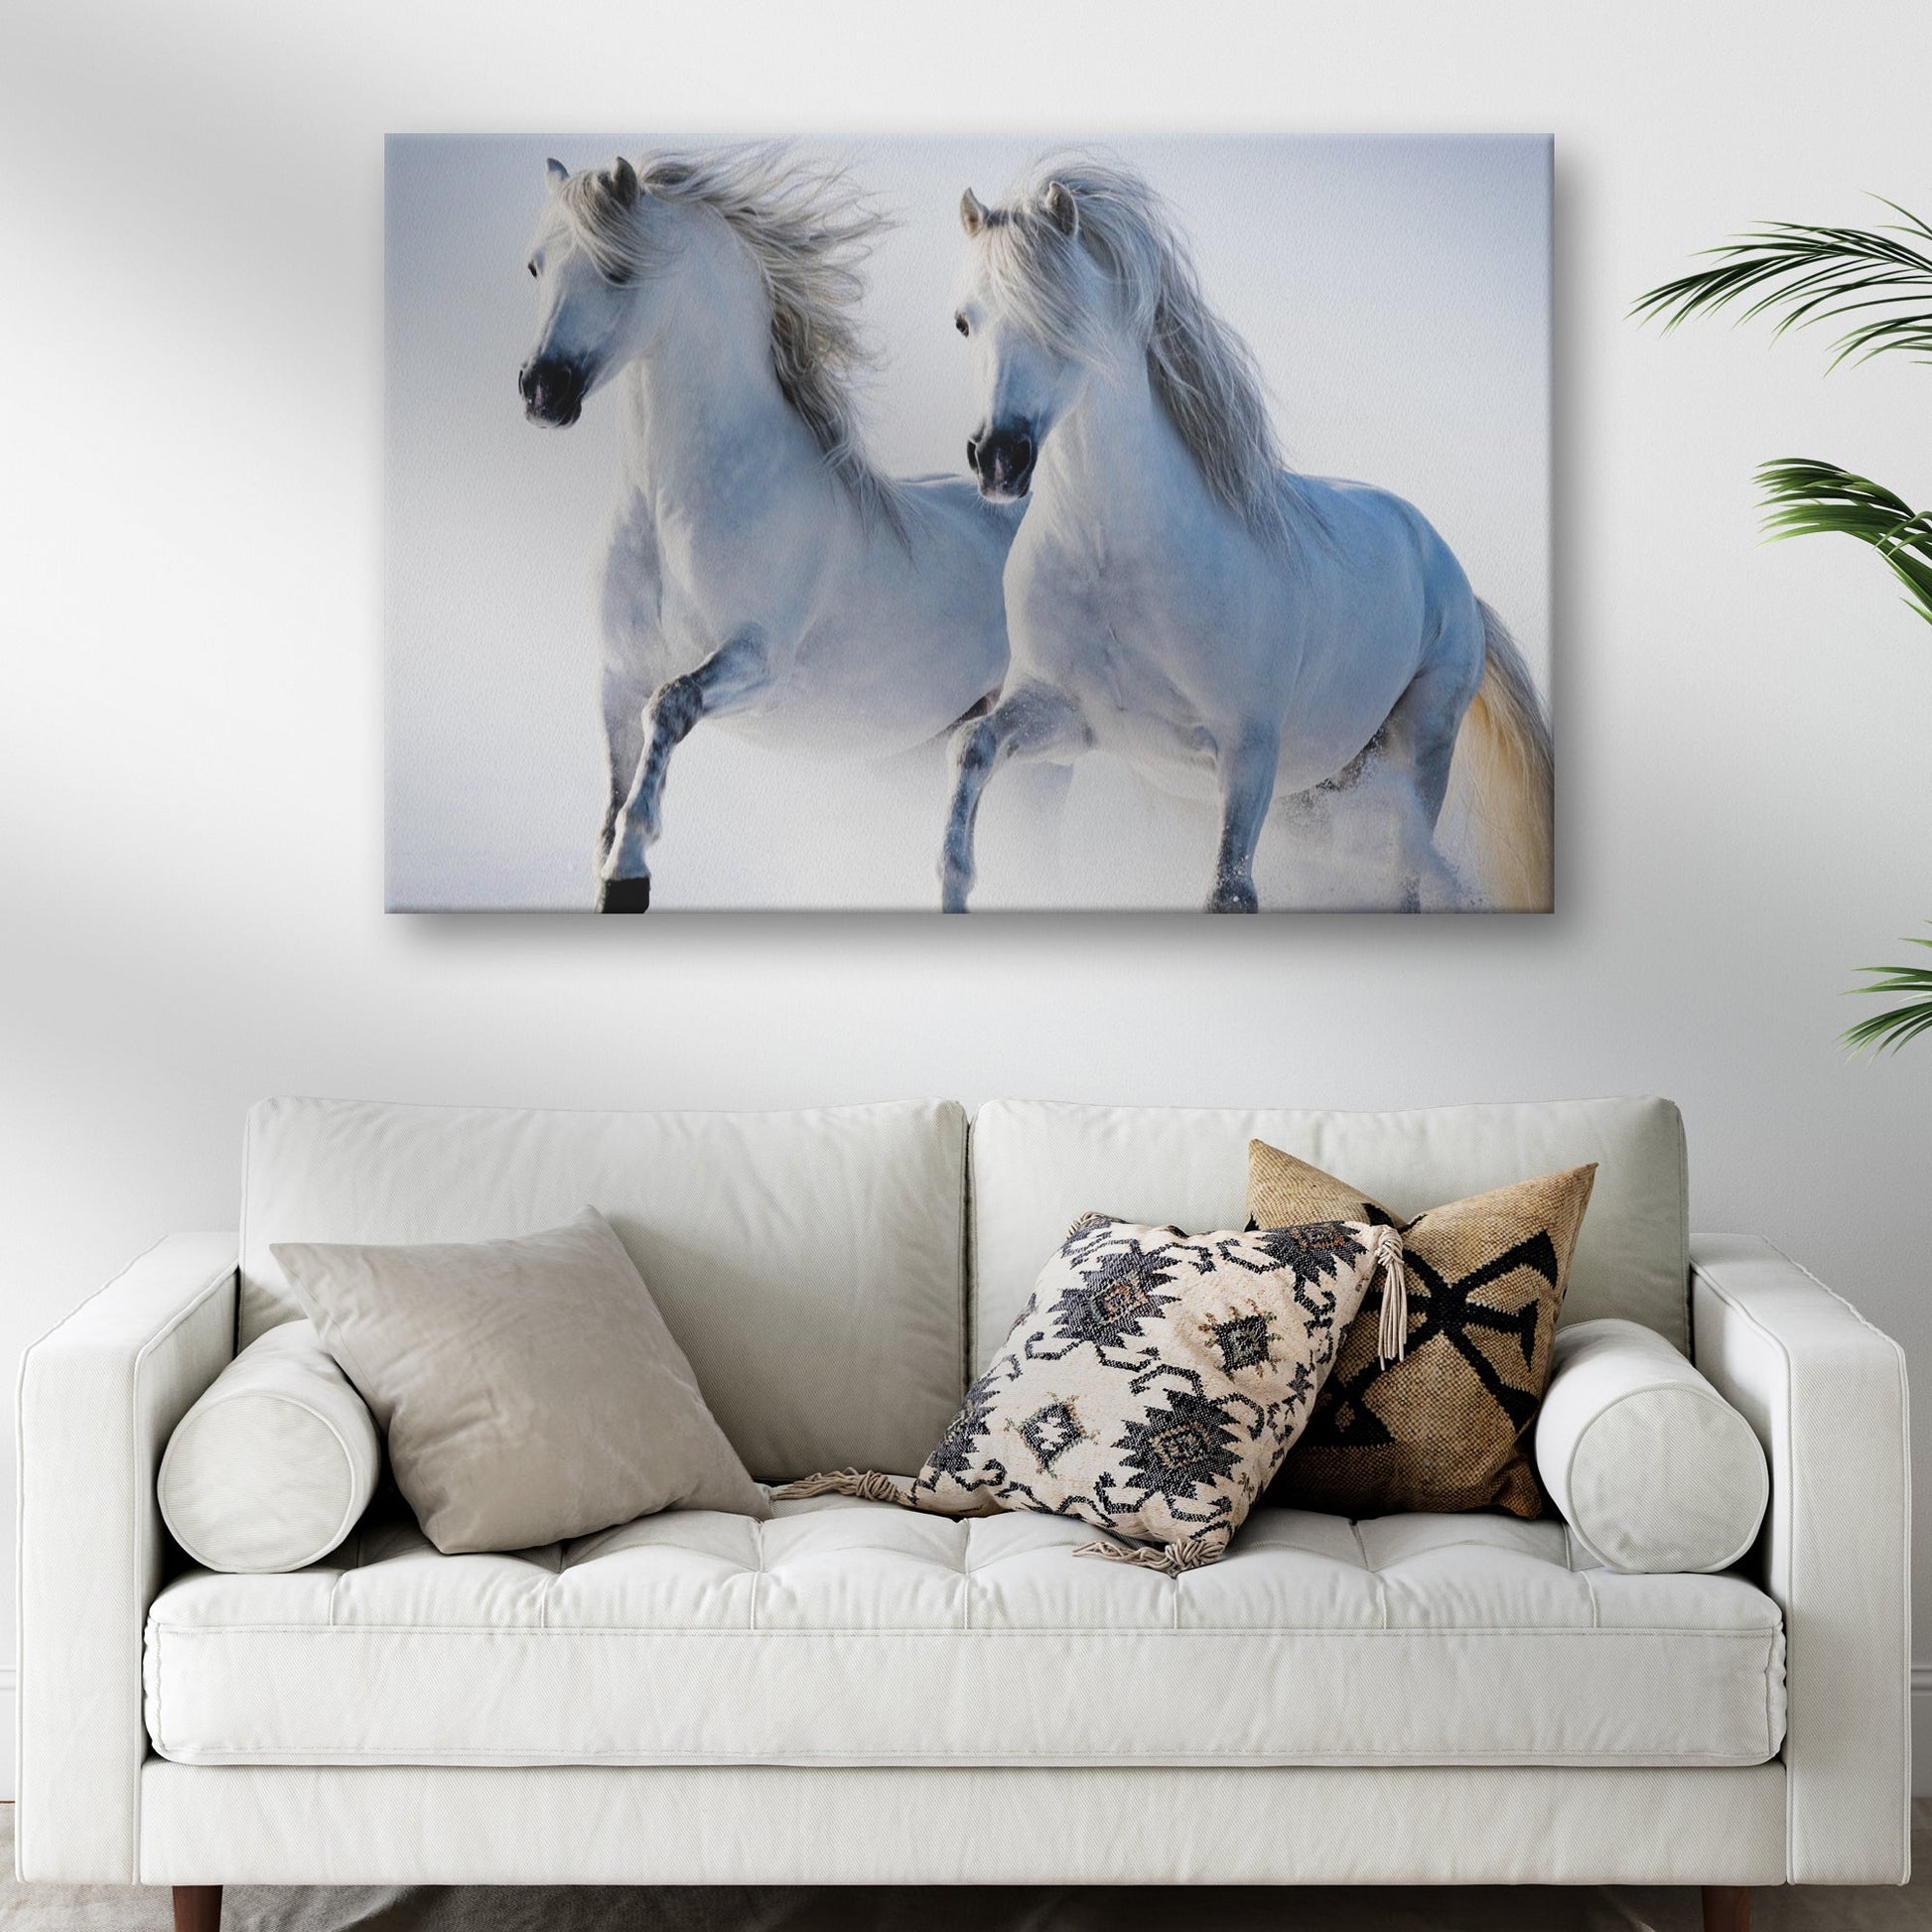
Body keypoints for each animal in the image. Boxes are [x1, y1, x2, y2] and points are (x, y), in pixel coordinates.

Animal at [518, 147, 1020, 910]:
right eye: (536, 266)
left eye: (618, 269)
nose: (542, 389)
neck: (676, 510)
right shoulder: (618, 676)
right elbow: (612, 794)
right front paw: (614, 876)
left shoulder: (758, 661)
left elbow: (670, 708)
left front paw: (633, 866)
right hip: (920, 746)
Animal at [938, 157, 1554, 913]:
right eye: (965, 322)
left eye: (1063, 315)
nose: (999, 457)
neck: (1117, 563)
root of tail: (1456, 581)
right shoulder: (1066, 719)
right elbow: (971, 749)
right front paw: (954, 883)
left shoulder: (1249, 755)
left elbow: (1230, 892)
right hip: (1318, 786)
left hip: (1420, 753)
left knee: (1404, 875)